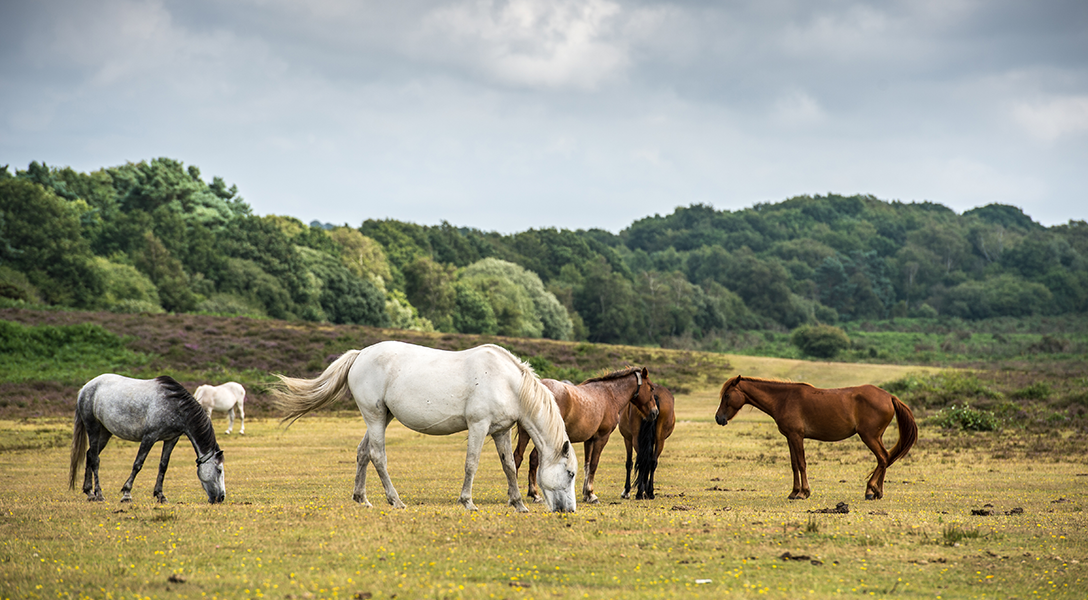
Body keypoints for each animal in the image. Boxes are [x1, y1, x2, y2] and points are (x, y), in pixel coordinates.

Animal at [70, 378, 225, 505]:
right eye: (219, 470)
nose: (222, 497)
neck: (175, 405)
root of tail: (85, 388)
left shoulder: (171, 439)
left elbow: (163, 466)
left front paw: (161, 495)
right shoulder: (150, 437)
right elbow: (138, 464)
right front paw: (127, 494)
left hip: (105, 432)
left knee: (90, 455)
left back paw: (90, 493)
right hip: (94, 429)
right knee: (95, 459)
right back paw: (99, 494)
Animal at [513, 368, 657, 505]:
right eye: (651, 388)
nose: (655, 412)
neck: (610, 395)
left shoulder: (589, 440)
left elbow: (587, 465)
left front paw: (586, 494)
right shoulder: (601, 438)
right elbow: (593, 464)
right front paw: (591, 494)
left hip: (526, 434)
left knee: (518, 457)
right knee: (534, 458)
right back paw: (535, 494)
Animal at [713, 374, 918, 503]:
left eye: (727, 395)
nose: (718, 418)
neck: (783, 399)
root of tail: (889, 397)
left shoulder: (797, 436)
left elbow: (802, 464)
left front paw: (803, 493)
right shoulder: (790, 438)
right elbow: (794, 464)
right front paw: (794, 492)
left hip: (869, 436)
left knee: (883, 458)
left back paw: (870, 490)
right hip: (875, 437)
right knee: (885, 458)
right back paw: (878, 492)